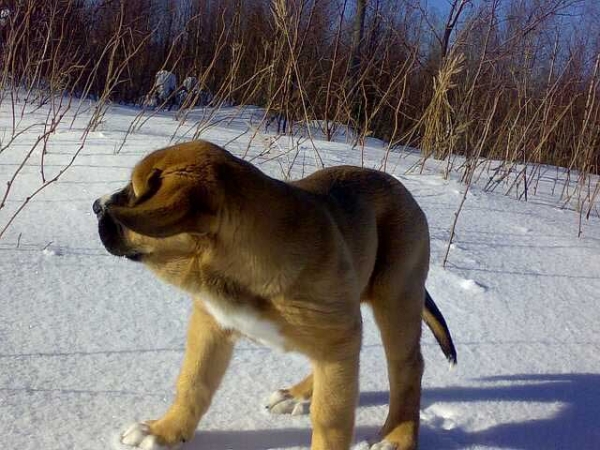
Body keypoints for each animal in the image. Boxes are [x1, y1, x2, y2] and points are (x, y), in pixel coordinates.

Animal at [92, 142, 454, 450]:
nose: (96, 205)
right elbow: (193, 382)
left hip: (397, 295)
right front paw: (164, 432)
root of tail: (403, 190)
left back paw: (397, 437)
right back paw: (298, 394)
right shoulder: (211, 323)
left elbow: (331, 418)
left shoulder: (338, 337)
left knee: (408, 367)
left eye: (132, 192)